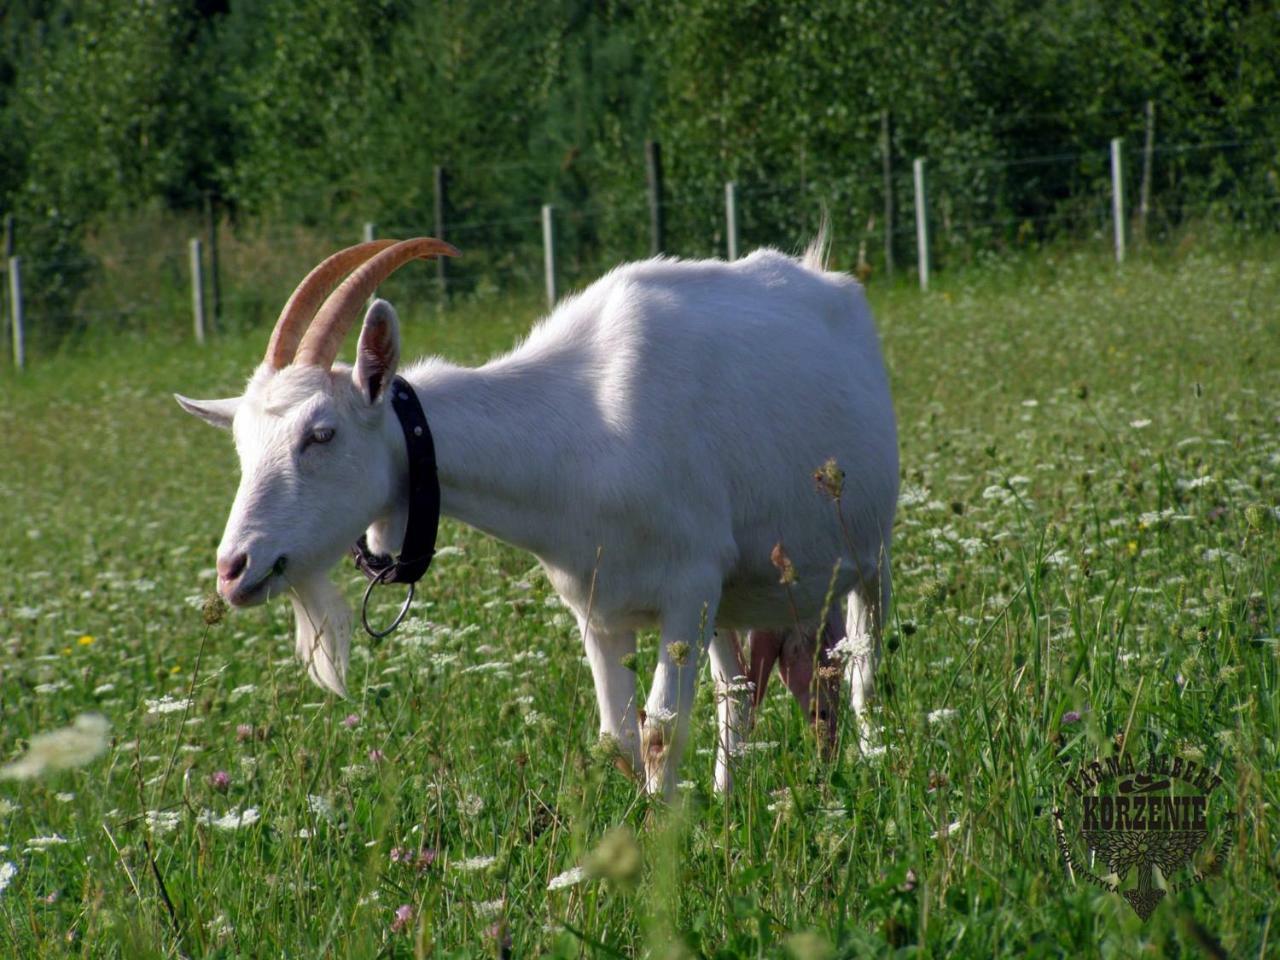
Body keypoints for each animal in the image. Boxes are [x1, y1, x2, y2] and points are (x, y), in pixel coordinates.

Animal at [177, 235, 901, 798]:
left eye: (321, 434)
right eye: (241, 443)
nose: (234, 568)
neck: (583, 432)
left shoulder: (687, 588)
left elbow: (663, 732)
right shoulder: (601, 608)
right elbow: (621, 738)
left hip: (869, 555)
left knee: (861, 670)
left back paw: (871, 768)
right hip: (742, 598)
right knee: (752, 691)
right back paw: (737, 796)